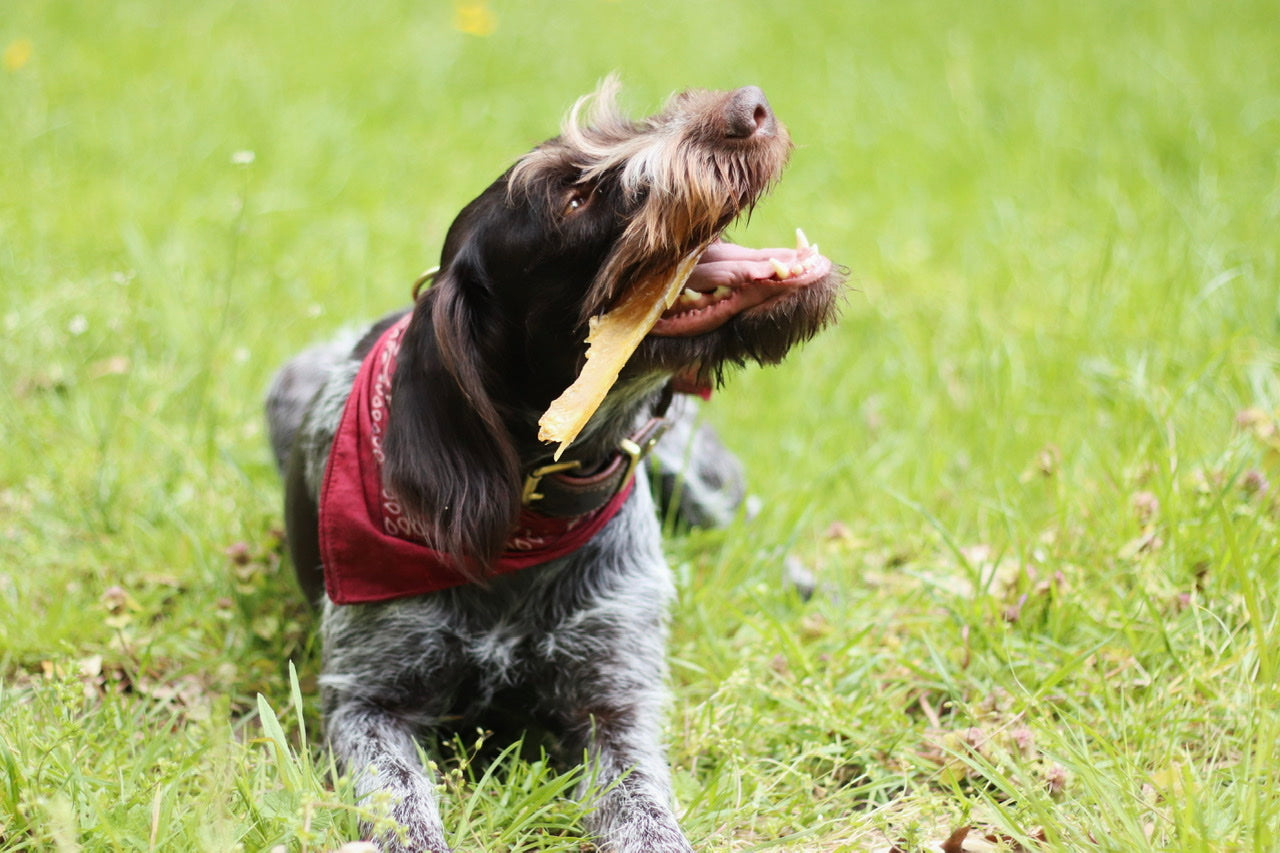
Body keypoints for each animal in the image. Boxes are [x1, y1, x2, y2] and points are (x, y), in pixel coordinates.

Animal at [263, 79, 839, 850]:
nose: (749, 106)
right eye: (573, 199)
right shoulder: (369, 701)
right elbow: (401, 803)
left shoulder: (616, 699)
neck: (532, 507)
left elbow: (642, 804)